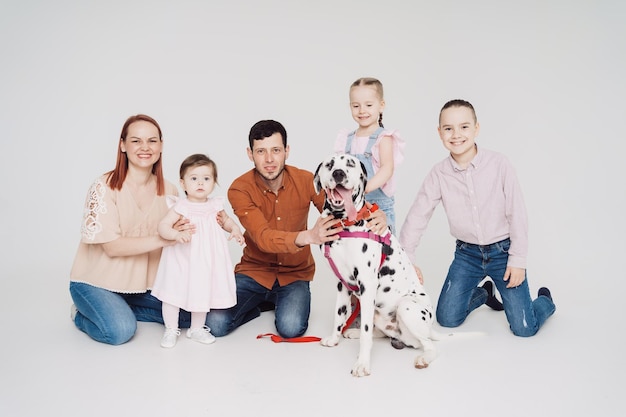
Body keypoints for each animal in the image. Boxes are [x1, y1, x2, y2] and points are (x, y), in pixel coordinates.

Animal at [312, 153, 438, 376]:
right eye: (329, 165)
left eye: (350, 164)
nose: (338, 173)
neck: (344, 225)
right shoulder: (342, 284)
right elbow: (339, 315)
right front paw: (335, 339)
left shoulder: (367, 284)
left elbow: (366, 333)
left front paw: (362, 363)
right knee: (382, 332)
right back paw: (353, 332)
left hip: (406, 307)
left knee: (428, 345)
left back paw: (424, 358)